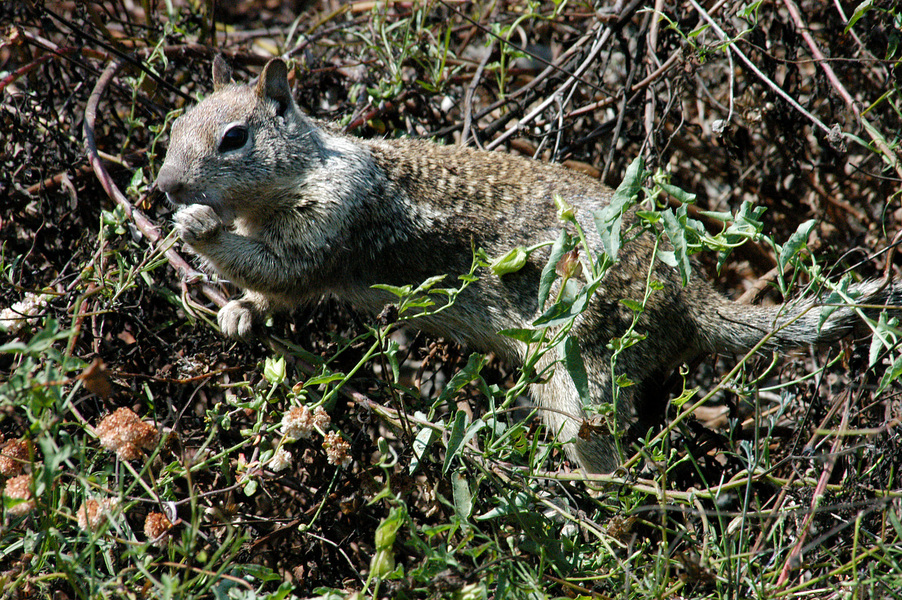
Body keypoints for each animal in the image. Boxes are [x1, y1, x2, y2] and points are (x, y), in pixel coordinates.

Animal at [157, 58, 902, 476]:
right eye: (172, 129)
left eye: (234, 138)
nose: (163, 186)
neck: (307, 168)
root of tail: (689, 299)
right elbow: (274, 292)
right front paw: (237, 310)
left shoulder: (330, 223)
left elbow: (280, 270)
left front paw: (196, 229)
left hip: (581, 375)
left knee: (614, 462)